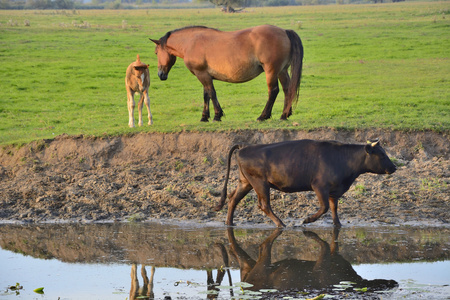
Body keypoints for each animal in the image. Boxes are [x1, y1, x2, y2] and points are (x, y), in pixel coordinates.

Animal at [150, 24, 302, 122]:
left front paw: (217, 115)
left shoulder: (202, 75)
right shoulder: (205, 75)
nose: (160, 74)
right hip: (282, 71)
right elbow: (206, 95)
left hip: (271, 71)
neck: (191, 43)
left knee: (273, 91)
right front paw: (204, 117)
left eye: (156, 52)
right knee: (287, 90)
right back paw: (284, 115)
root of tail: (284, 31)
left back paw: (263, 116)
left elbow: (211, 93)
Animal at [215, 138, 398, 227]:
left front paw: (338, 224)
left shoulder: (334, 191)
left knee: (233, 199)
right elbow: (324, 207)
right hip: (260, 183)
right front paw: (307, 220)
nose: (394, 167)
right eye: (382, 155)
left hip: (245, 182)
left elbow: (333, 208)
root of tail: (245, 147)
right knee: (264, 205)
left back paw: (229, 223)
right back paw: (281, 224)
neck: (342, 158)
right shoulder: (319, 186)